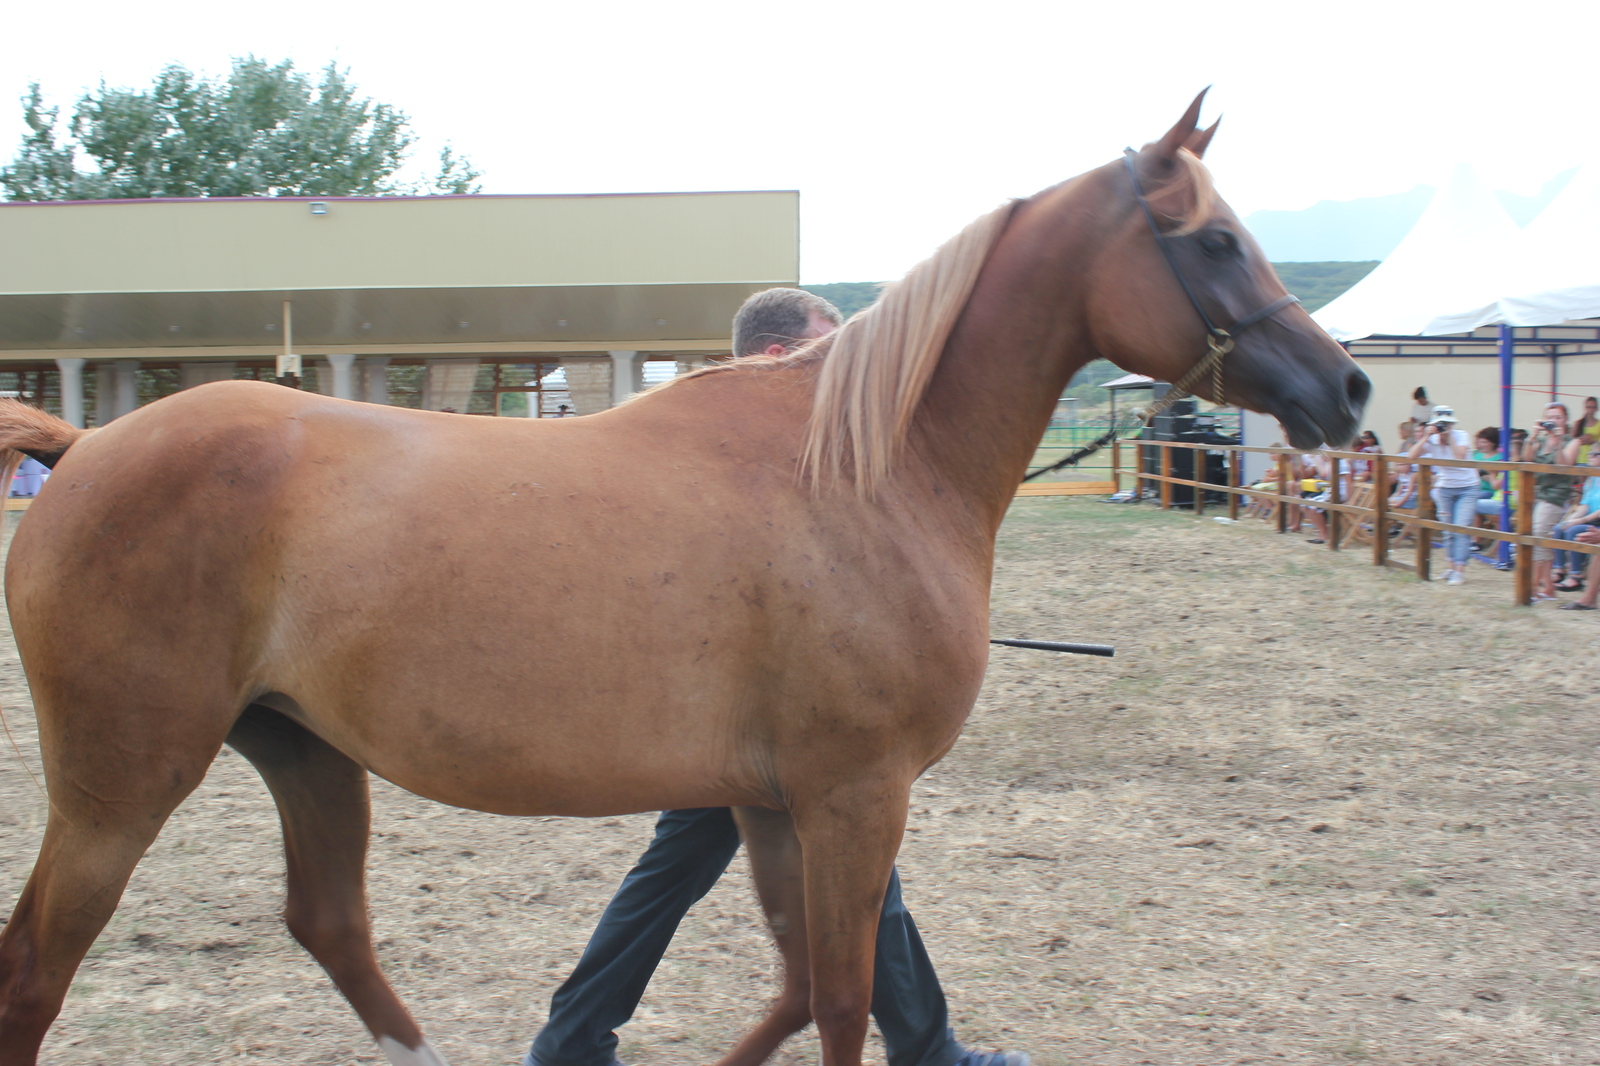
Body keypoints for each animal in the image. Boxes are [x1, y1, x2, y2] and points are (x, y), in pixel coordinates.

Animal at [0, 93, 1369, 1062]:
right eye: (1215, 240)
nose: (1344, 388)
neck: (860, 470)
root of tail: (84, 448)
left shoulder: (769, 802)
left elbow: (802, 988)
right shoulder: (853, 795)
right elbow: (843, 998)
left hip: (303, 750)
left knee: (330, 927)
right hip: (123, 785)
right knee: (36, 971)